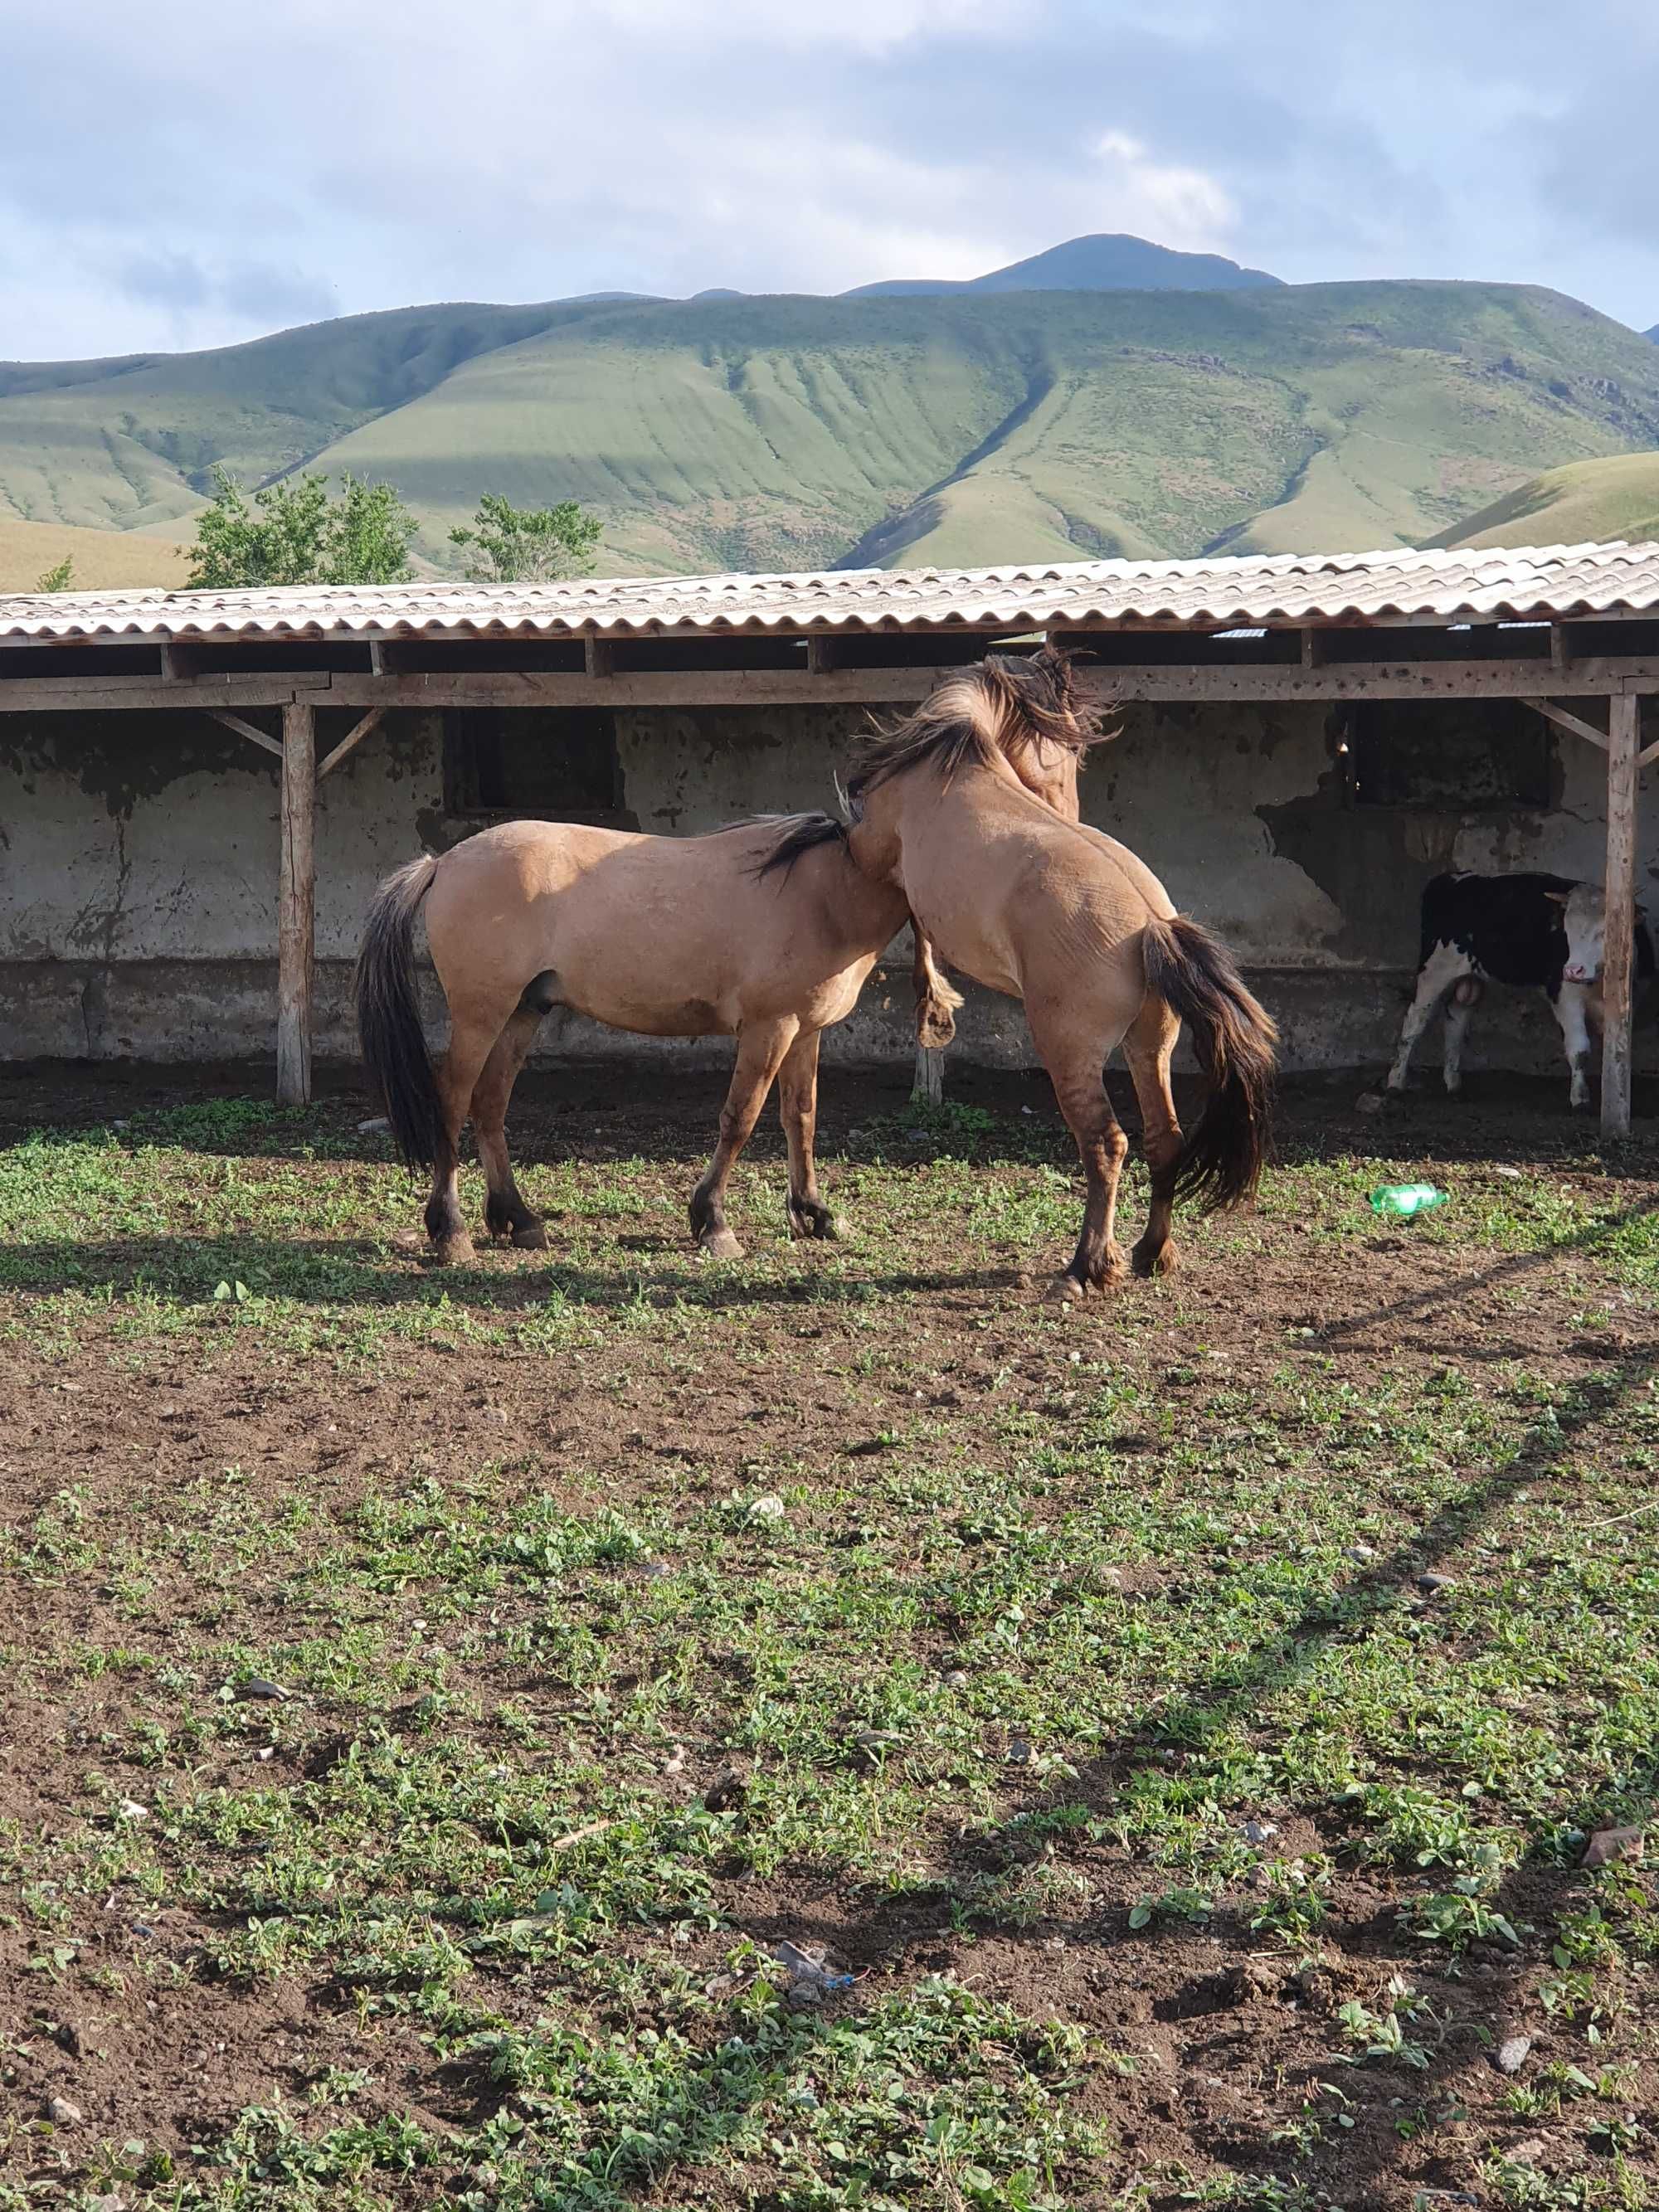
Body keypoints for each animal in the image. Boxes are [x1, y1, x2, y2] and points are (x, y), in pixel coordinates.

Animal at [765, 645, 1282, 1291]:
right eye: (1070, 753)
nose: (1069, 806)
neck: (951, 761)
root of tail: (1150, 925)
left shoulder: (880, 861)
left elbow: (919, 930)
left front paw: (935, 1009)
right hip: (1149, 1048)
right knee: (1164, 1139)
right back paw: (1152, 1252)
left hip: (1070, 1052)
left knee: (1106, 1144)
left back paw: (1087, 1267)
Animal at [1380, 867, 1654, 1101]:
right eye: (1567, 931)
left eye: (1605, 931)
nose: (1573, 969)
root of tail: (1450, 877)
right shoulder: (1564, 995)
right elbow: (1579, 1050)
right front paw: (1580, 1098)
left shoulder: (1630, 1000)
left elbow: (1615, 1049)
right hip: (1434, 971)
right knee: (1415, 1022)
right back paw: (1396, 1080)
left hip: (1471, 979)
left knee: (1456, 1021)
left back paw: (1453, 1083)